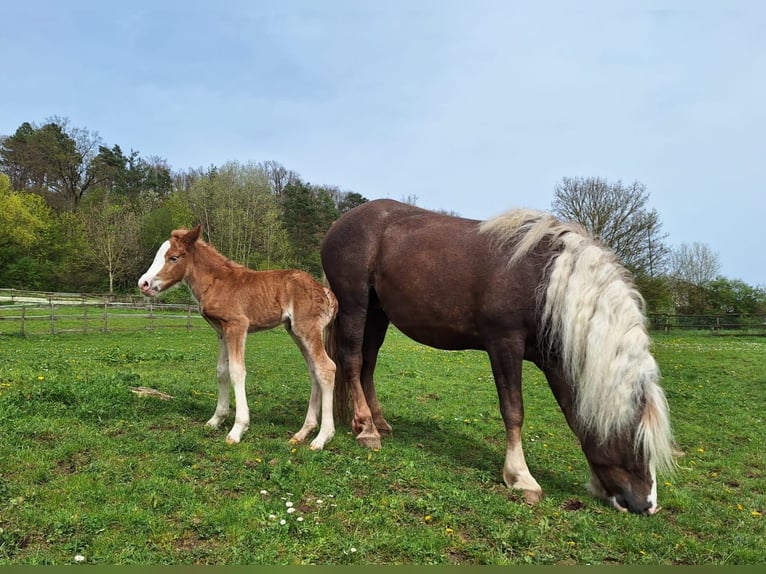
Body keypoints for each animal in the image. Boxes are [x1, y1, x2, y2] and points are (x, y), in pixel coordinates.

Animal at [140, 225, 338, 450]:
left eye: (173, 257)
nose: (143, 284)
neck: (216, 282)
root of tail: (326, 293)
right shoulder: (221, 331)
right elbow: (221, 371)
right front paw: (216, 420)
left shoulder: (237, 326)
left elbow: (236, 371)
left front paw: (238, 429)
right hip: (295, 331)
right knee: (313, 370)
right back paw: (303, 432)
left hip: (307, 328)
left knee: (326, 368)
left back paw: (322, 438)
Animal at [320, 200, 676, 516]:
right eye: (638, 444)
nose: (648, 505)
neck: (545, 282)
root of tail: (341, 223)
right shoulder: (505, 345)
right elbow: (513, 410)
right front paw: (520, 476)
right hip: (355, 305)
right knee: (352, 361)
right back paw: (366, 429)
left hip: (378, 313)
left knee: (368, 364)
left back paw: (378, 422)